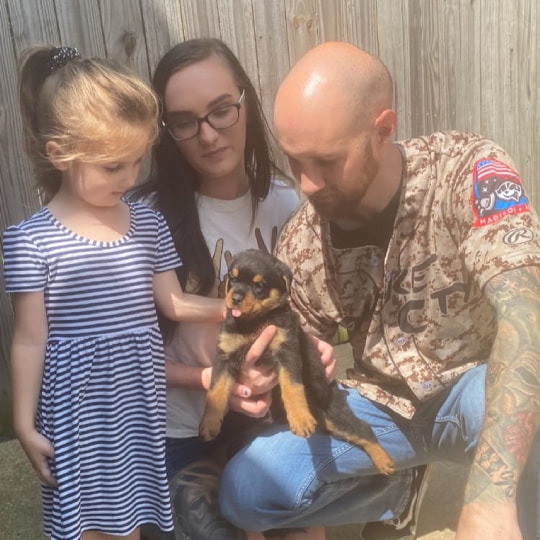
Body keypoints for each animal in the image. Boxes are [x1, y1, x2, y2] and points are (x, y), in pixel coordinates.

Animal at [198, 249, 392, 472]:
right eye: (233, 278)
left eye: (259, 285)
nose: (235, 298)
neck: (254, 322)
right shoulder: (224, 356)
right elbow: (216, 390)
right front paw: (209, 424)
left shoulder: (287, 350)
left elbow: (292, 387)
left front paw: (300, 419)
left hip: (333, 412)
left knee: (363, 428)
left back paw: (384, 461)